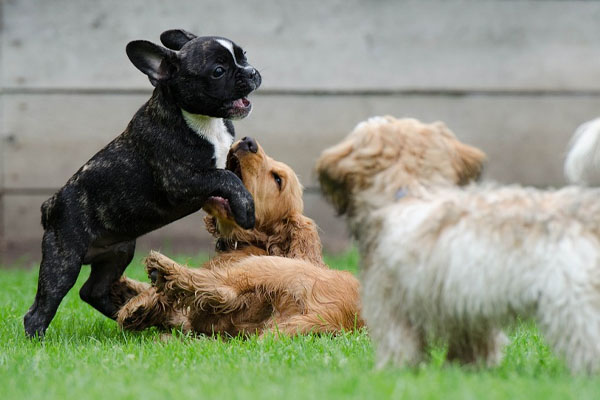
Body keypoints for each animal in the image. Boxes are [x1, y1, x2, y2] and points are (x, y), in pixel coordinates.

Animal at [316, 117, 600, 374]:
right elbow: (473, 345)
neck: (410, 192)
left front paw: (392, 372)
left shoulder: (391, 303)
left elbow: (398, 344)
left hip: (573, 302)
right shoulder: (468, 311)